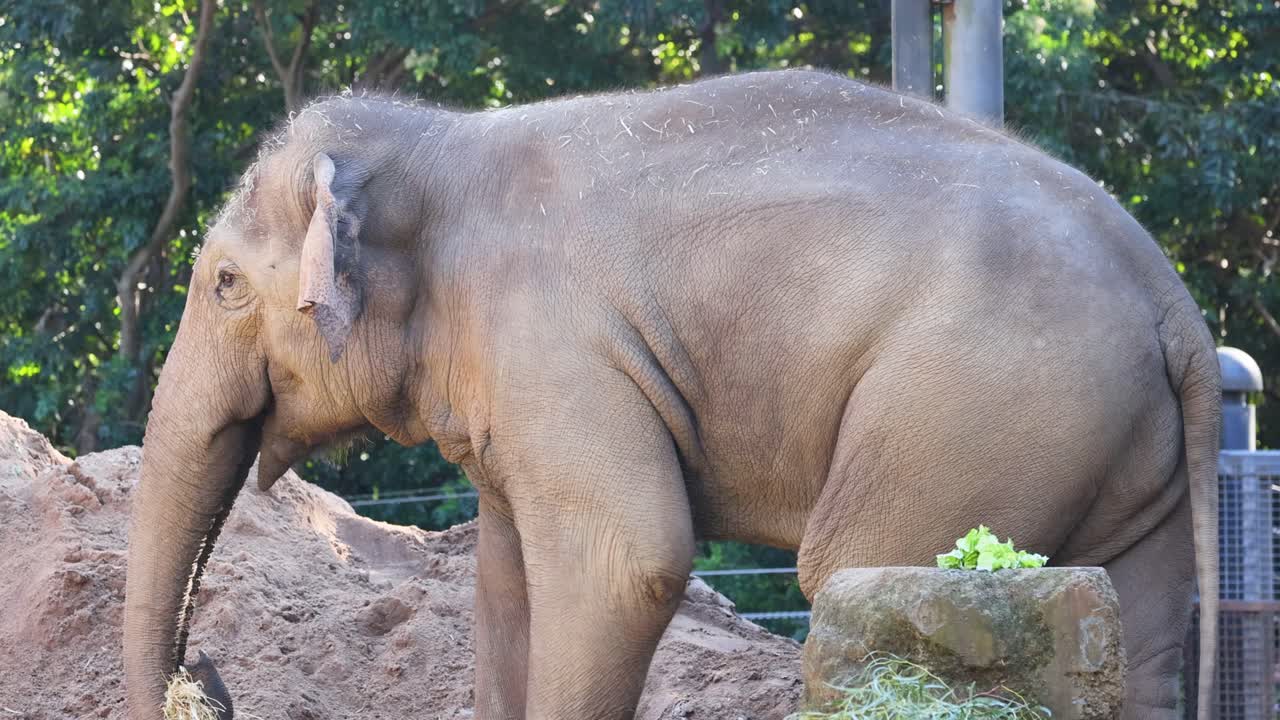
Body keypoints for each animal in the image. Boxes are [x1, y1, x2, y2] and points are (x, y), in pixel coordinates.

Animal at [122, 69, 1219, 720]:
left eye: (223, 284)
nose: (201, 672)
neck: (439, 149)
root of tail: (1172, 299)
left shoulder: (556, 345)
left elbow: (627, 563)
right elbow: (507, 584)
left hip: (974, 405)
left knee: (856, 571)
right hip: (1111, 443)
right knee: (1136, 632)